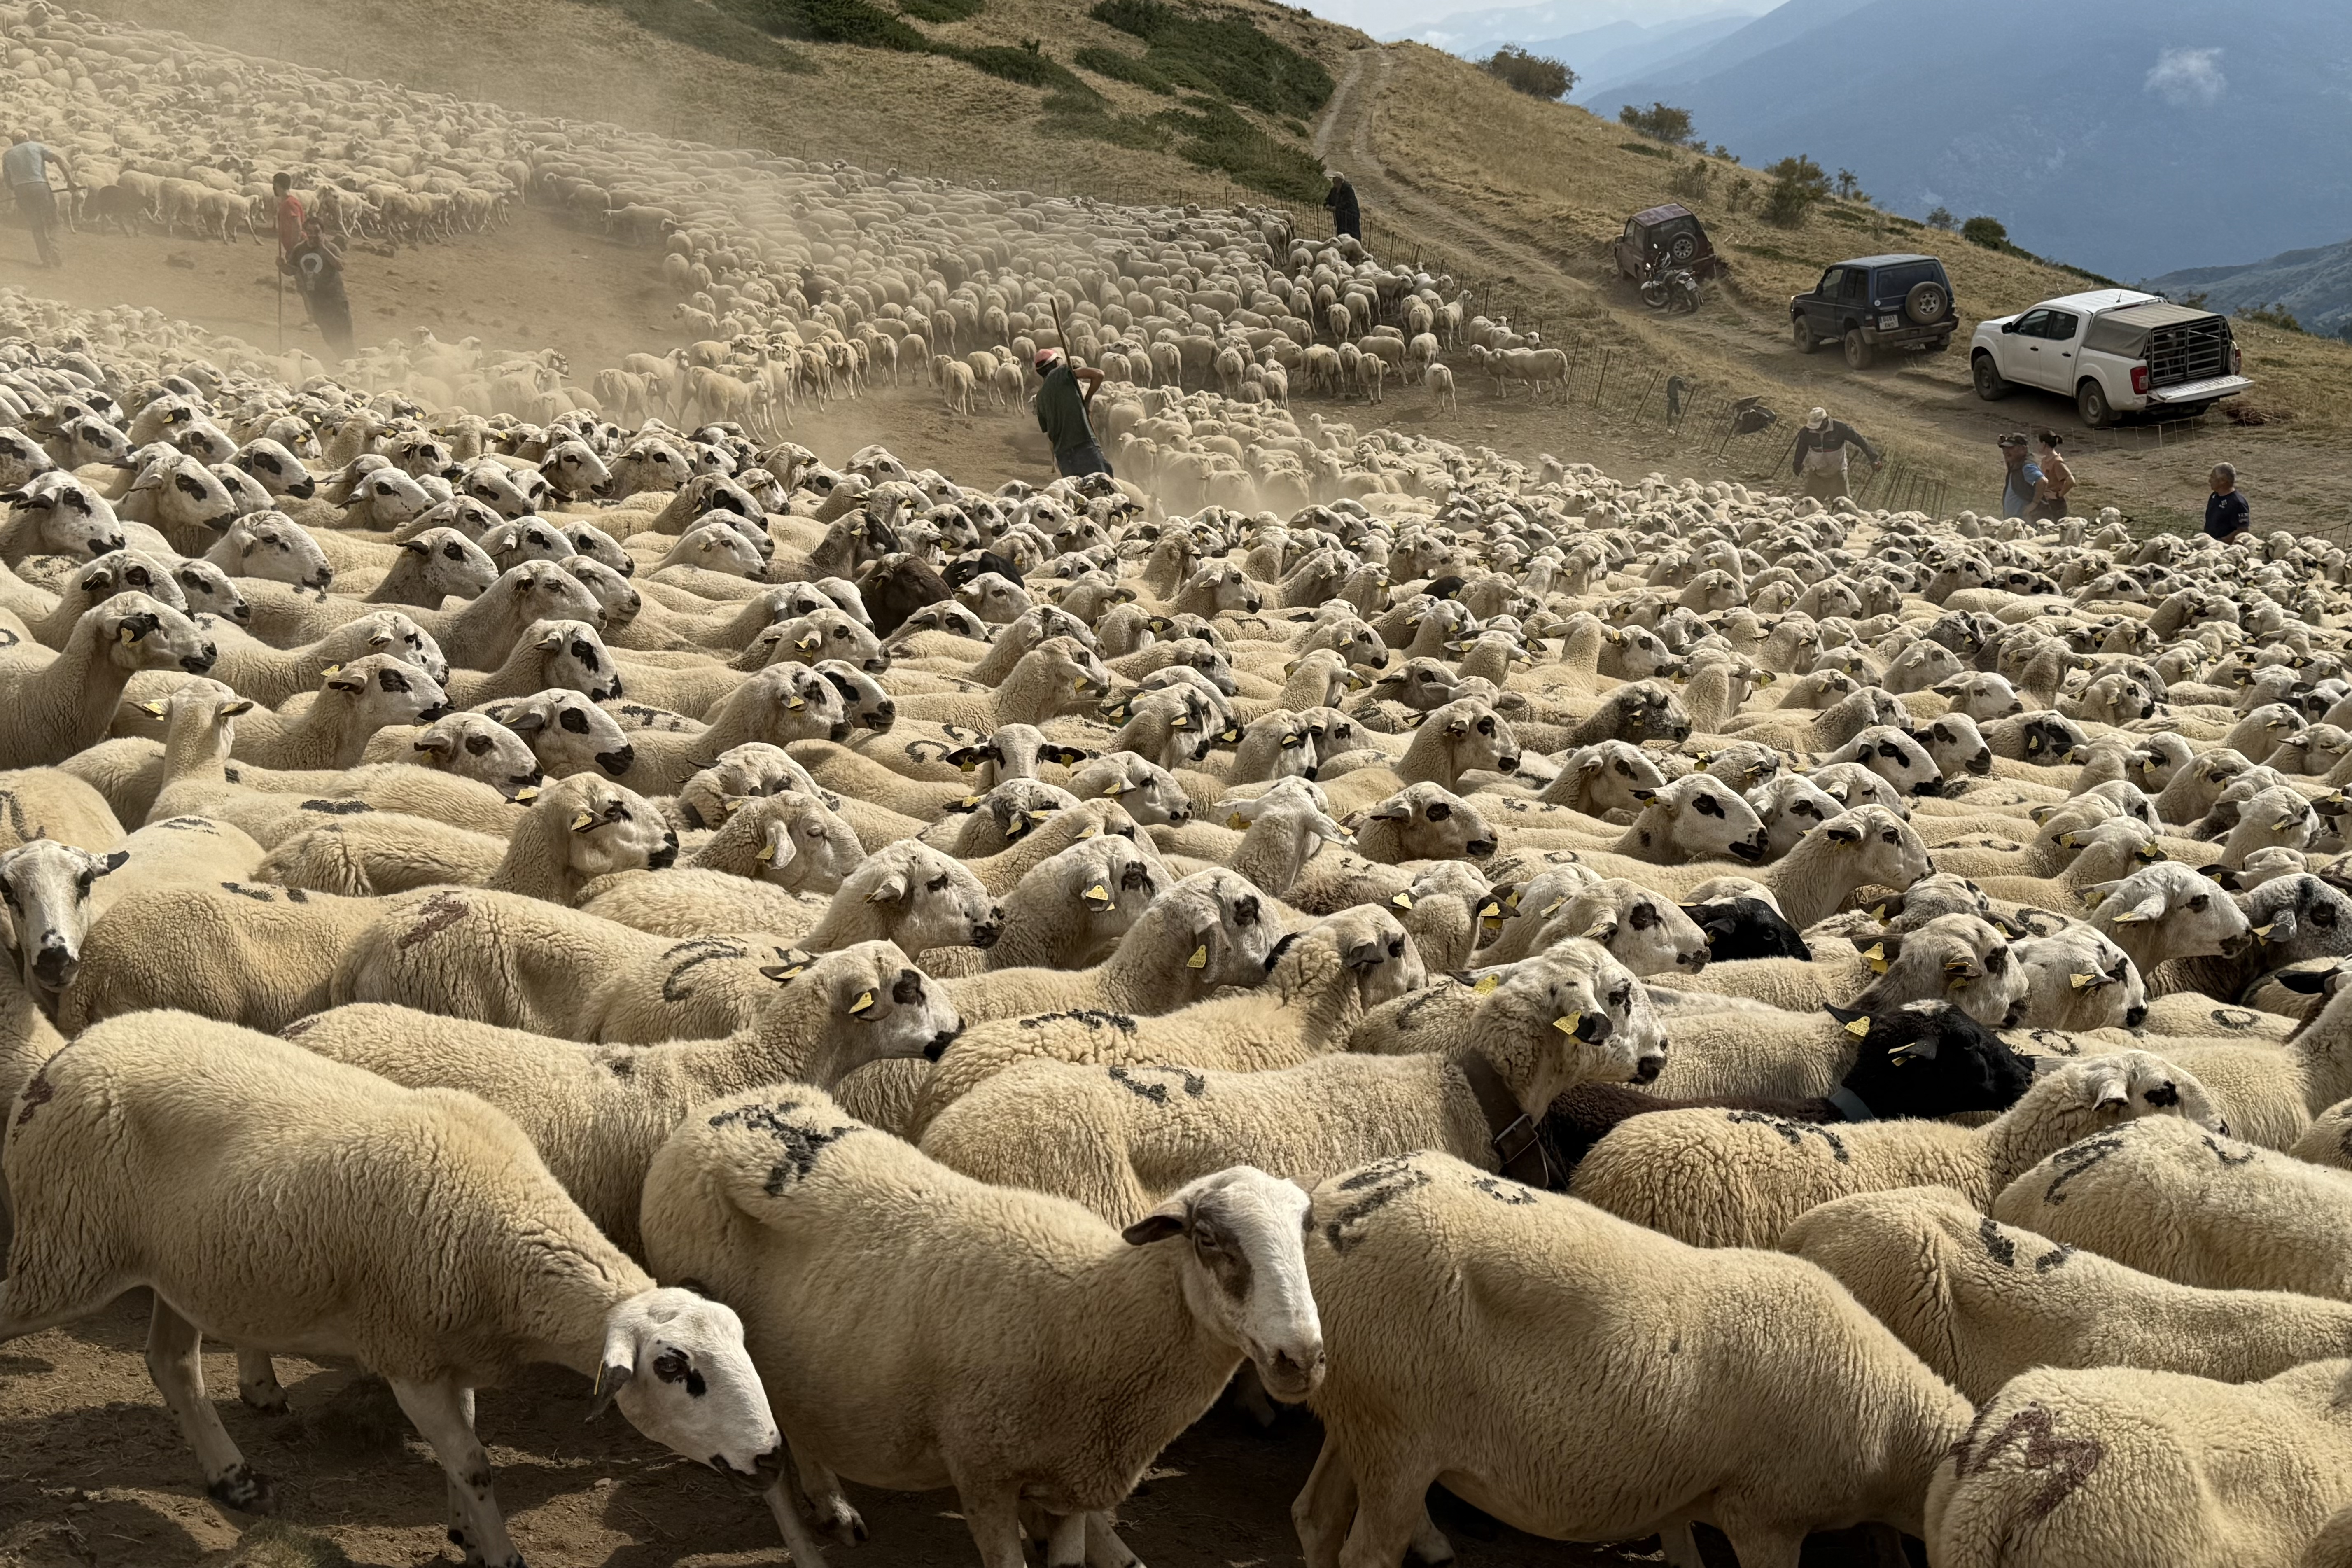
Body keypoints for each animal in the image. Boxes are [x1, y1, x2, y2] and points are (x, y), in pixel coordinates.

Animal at [0, 1016, 781, 1561]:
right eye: (675, 1369)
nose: (772, 1457)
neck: (512, 1236)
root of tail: (78, 1047)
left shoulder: (449, 1354)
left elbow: (463, 1456)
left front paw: (466, 1535)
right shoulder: (408, 1353)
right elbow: (475, 1463)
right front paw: (502, 1553)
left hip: (181, 1262)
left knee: (172, 1363)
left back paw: (234, 1478)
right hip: (66, 1245)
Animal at [641, 1088, 1320, 1568]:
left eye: (1305, 1230)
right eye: (1207, 1238)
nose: (1303, 1358)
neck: (1097, 1310)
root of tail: (713, 1112)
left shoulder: (1070, 1479)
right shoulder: (984, 1474)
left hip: (799, 1349)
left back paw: (832, 1504)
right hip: (719, 1348)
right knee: (767, 1476)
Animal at [1291, 1151, 1973, 1568]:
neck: (1895, 1428)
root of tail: (1330, 1210)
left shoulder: (1685, 1492)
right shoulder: (1766, 1513)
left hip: (1359, 1408)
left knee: (1315, 1517)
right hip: (1399, 1433)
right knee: (1366, 1553)